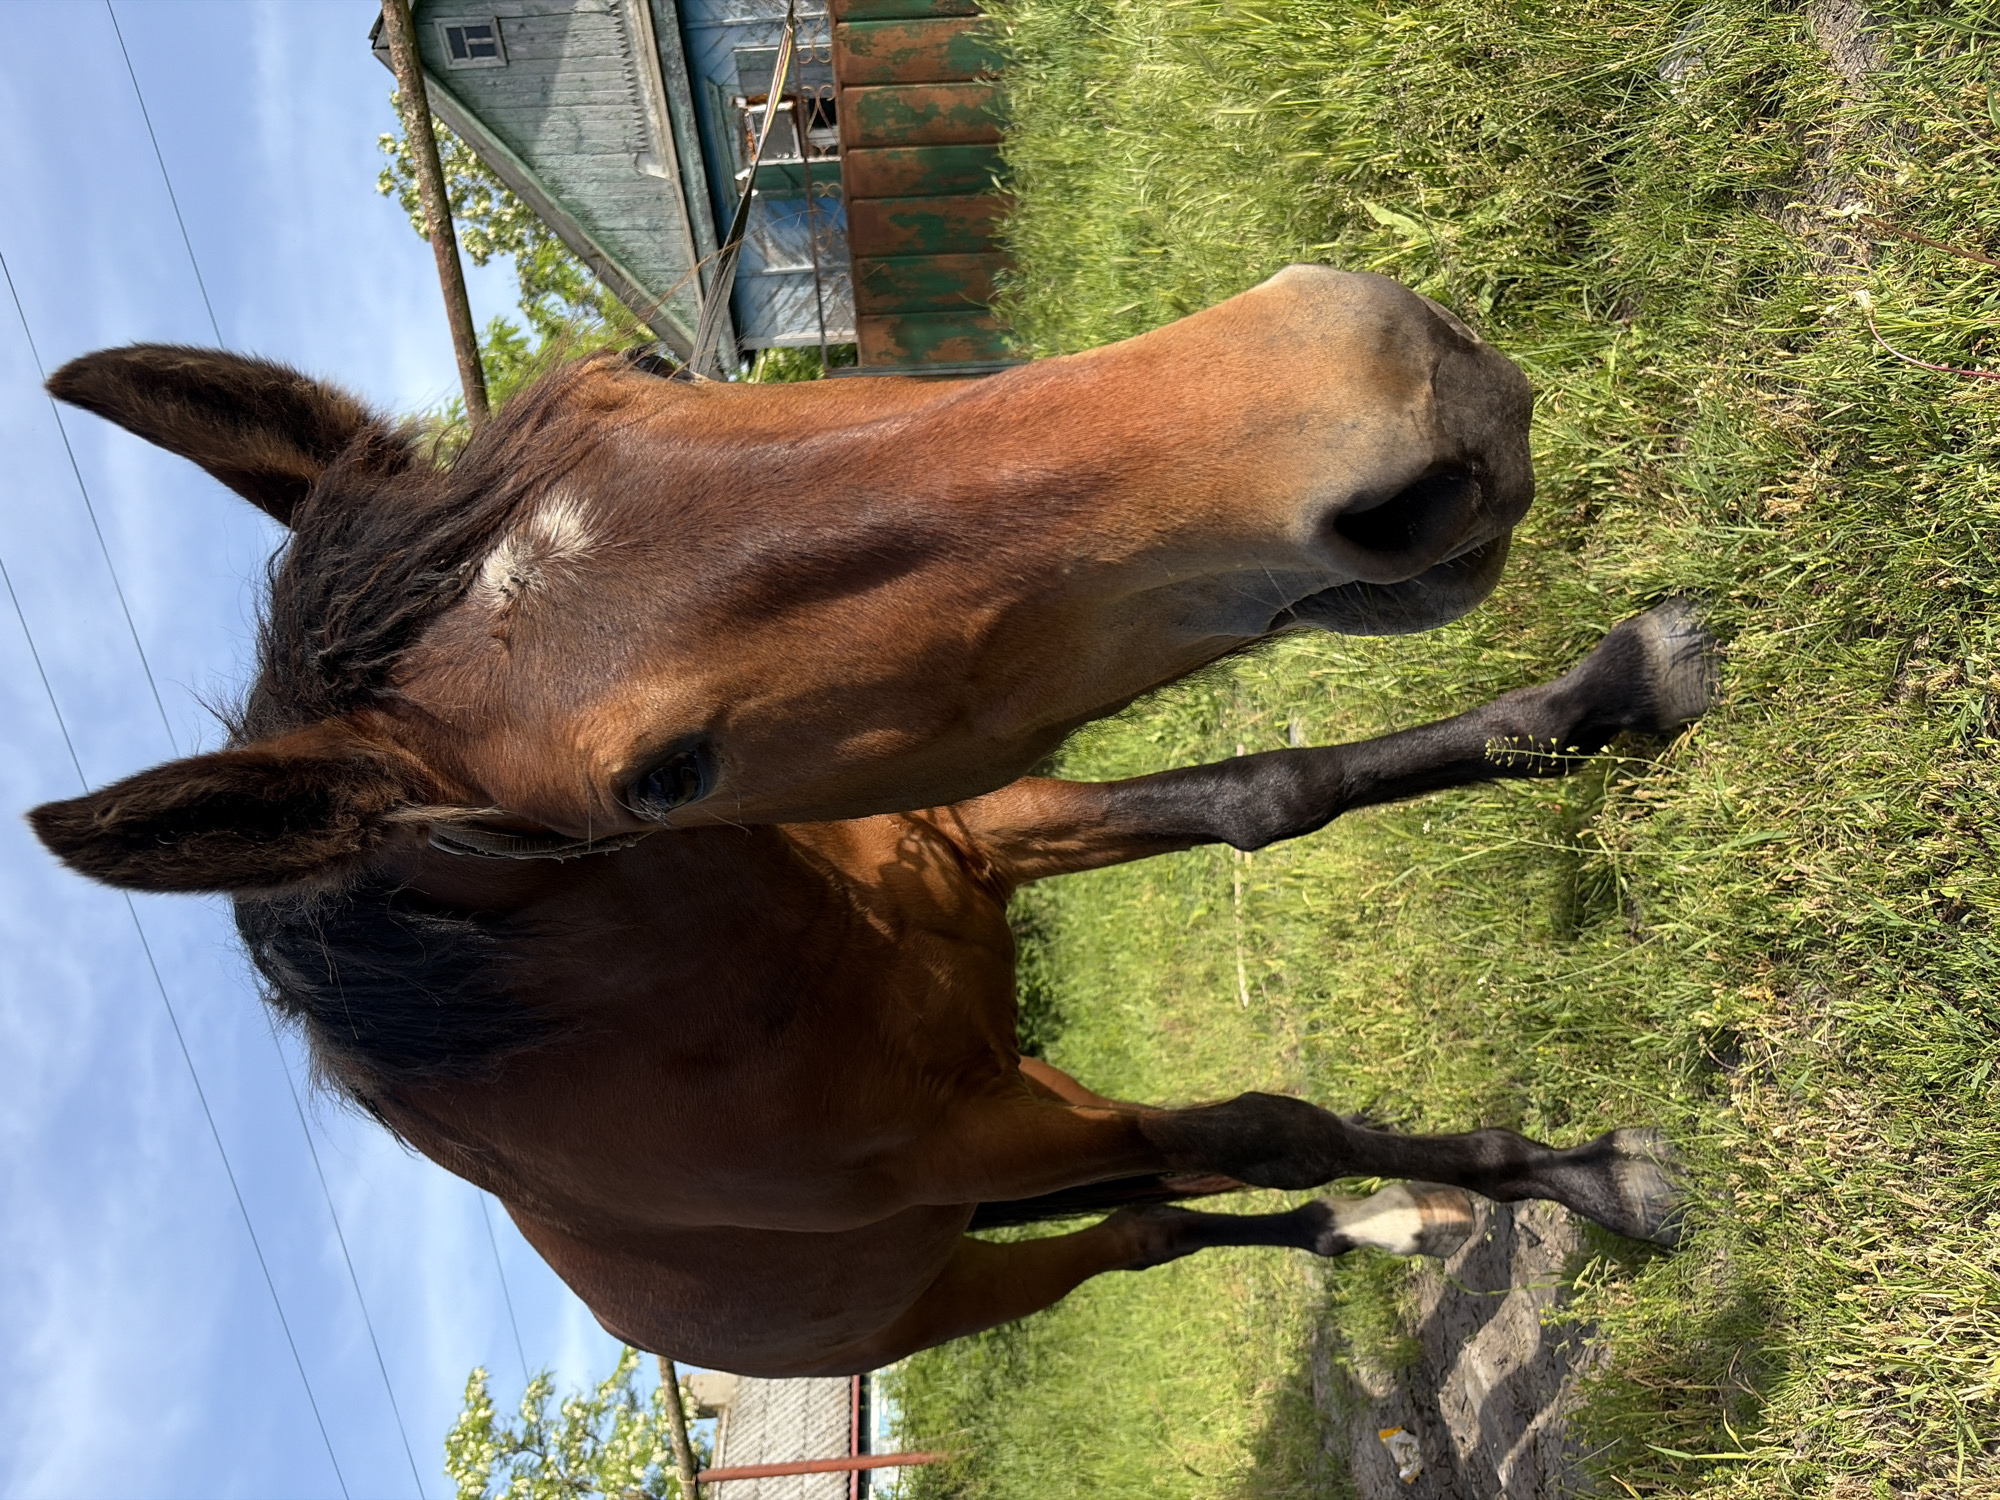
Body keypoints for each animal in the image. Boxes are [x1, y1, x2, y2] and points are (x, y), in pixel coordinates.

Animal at [29, 267, 1712, 1377]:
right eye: (661, 778)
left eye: (634, 367)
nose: (1371, 390)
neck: (799, 959)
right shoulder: (978, 1137)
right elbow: (1264, 1124)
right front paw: (1585, 1180)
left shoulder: (977, 837)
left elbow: (1268, 794)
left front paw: (1608, 692)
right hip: (961, 1264)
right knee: (1151, 1223)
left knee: (1171, 1198)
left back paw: (1366, 1227)